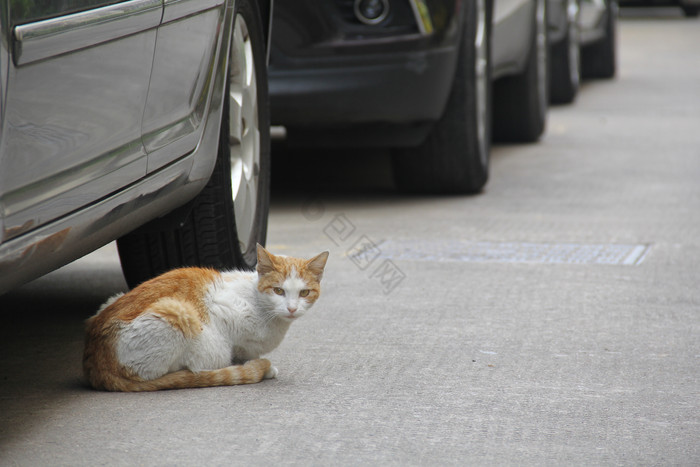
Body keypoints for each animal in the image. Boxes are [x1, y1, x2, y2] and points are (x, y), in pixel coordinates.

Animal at [83, 247, 330, 394]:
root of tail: (95, 362)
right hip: (178, 313)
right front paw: (256, 366)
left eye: (304, 293)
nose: (291, 308)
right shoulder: (224, 310)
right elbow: (243, 350)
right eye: (279, 291)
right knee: (161, 375)